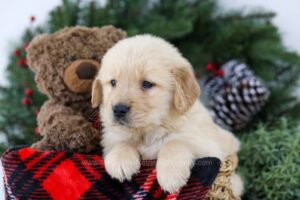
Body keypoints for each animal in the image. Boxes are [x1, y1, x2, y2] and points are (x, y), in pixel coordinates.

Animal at [91, 34, 244, 195]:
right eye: (113, 82)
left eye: (147, 84)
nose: (118, 109)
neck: (148, 133)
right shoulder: (111, 141)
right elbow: (122, 142)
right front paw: (120, 159)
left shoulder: (210, 150)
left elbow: (174, 142)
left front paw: (170, 175)